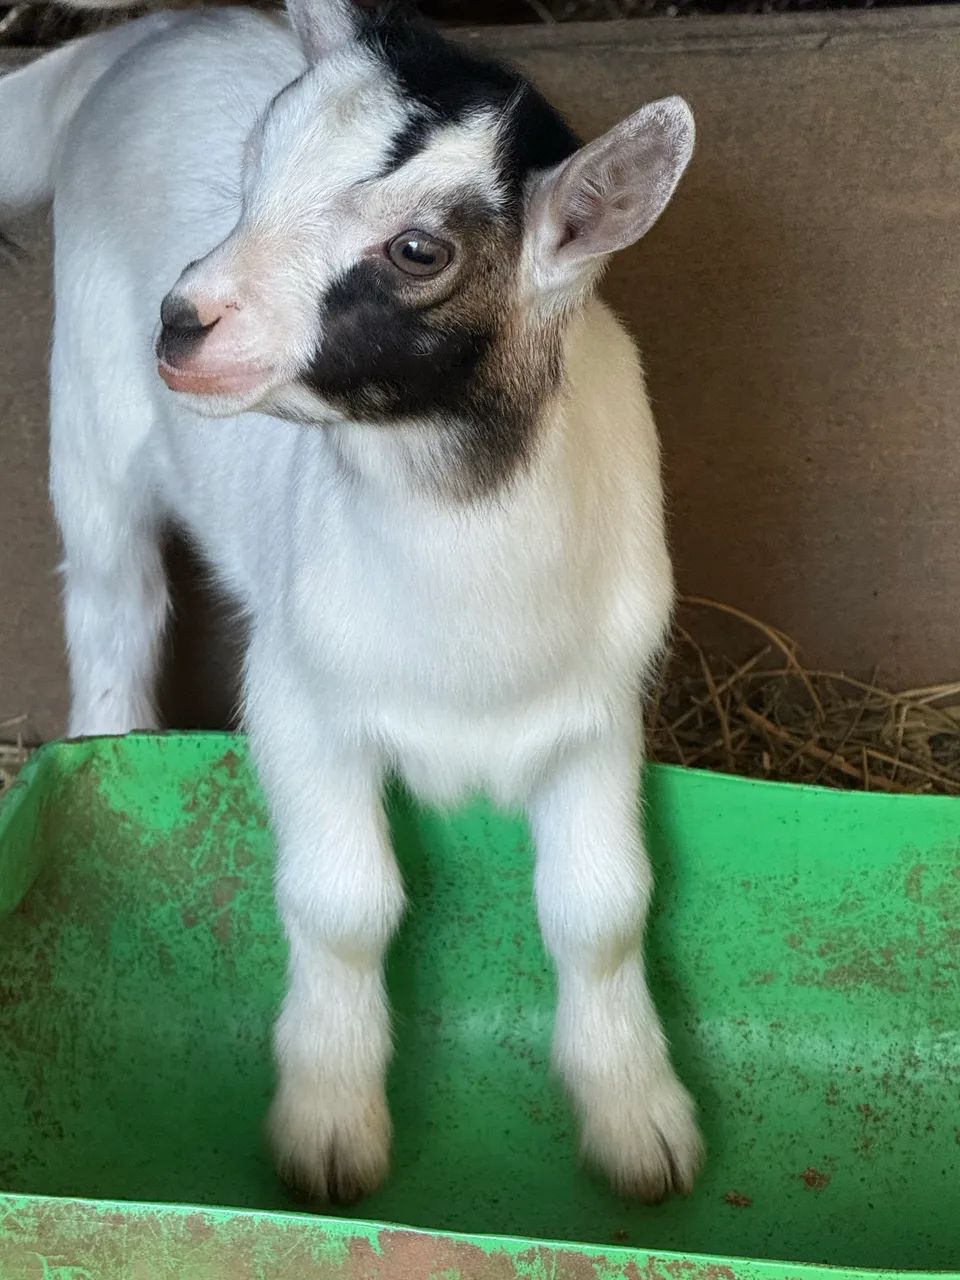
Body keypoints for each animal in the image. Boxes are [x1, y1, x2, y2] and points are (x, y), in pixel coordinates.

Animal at [0, 0, 700, 1204]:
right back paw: (105, 741)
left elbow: (604, 908)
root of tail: (146, 34)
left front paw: (638, 1122)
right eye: (253, 173)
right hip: (88, 411)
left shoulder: (596, 716)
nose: (180, 324)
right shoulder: (300, 700)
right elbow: (344, 904)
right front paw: (329, 1126)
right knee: (110, 593)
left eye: (420, 249)